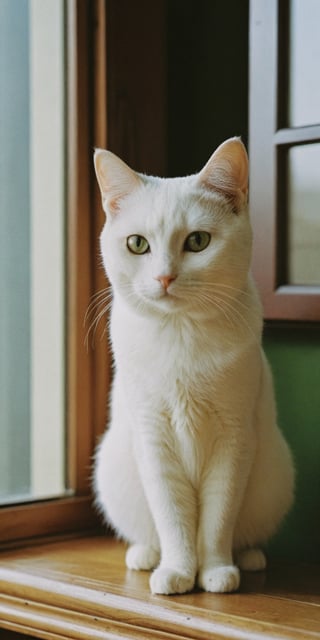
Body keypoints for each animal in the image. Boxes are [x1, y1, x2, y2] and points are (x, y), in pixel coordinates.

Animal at [92, 136, 296, 596]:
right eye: (137, 244)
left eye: (198, 241)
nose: (164, 278)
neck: (180, 334)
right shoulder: (154, 439)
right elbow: (174, 516)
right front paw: (179, 572)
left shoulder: (234, 439)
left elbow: (218, 517)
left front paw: (216, 572)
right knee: (148, 532)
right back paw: (146, 556)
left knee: (243, 534)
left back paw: (248, 558)